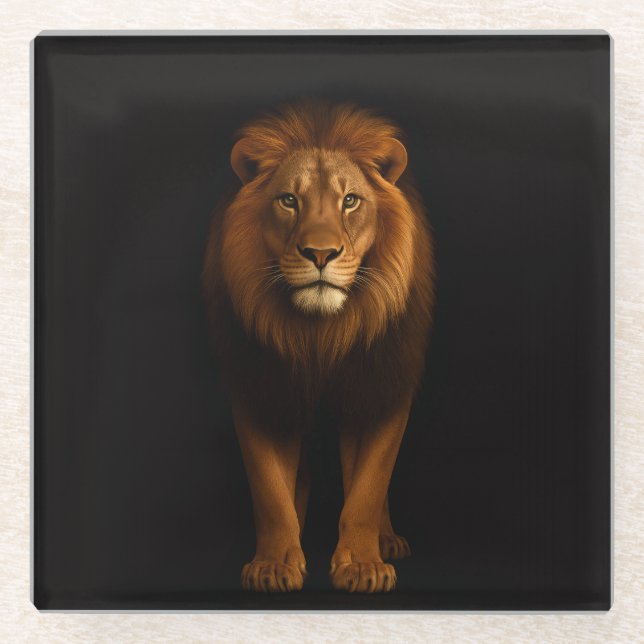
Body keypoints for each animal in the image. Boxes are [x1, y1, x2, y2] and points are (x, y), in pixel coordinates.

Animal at [202, 99, 434, 593]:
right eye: (289, 200)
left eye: (350, 201)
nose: (321, 254)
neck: (320, 335)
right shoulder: (261, 388)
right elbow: (269, 490)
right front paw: (274, 564)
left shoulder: (380, 386)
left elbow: (369, 488)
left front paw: (363, 566)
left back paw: (387, 542)